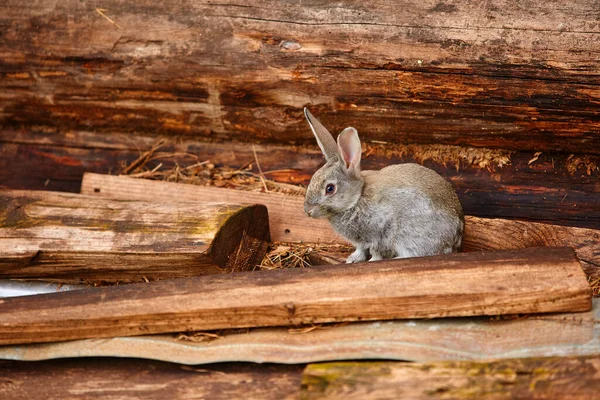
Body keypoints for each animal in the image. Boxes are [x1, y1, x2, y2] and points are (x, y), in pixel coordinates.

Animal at [304, 108, 464, 262]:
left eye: (330, 189)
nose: (308, 211)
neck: (357, 198)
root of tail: (455, 239)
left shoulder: (383, 231)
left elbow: (378, 251)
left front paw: (372, 261)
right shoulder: (361, 242)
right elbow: (361, 249)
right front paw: (353, 259)